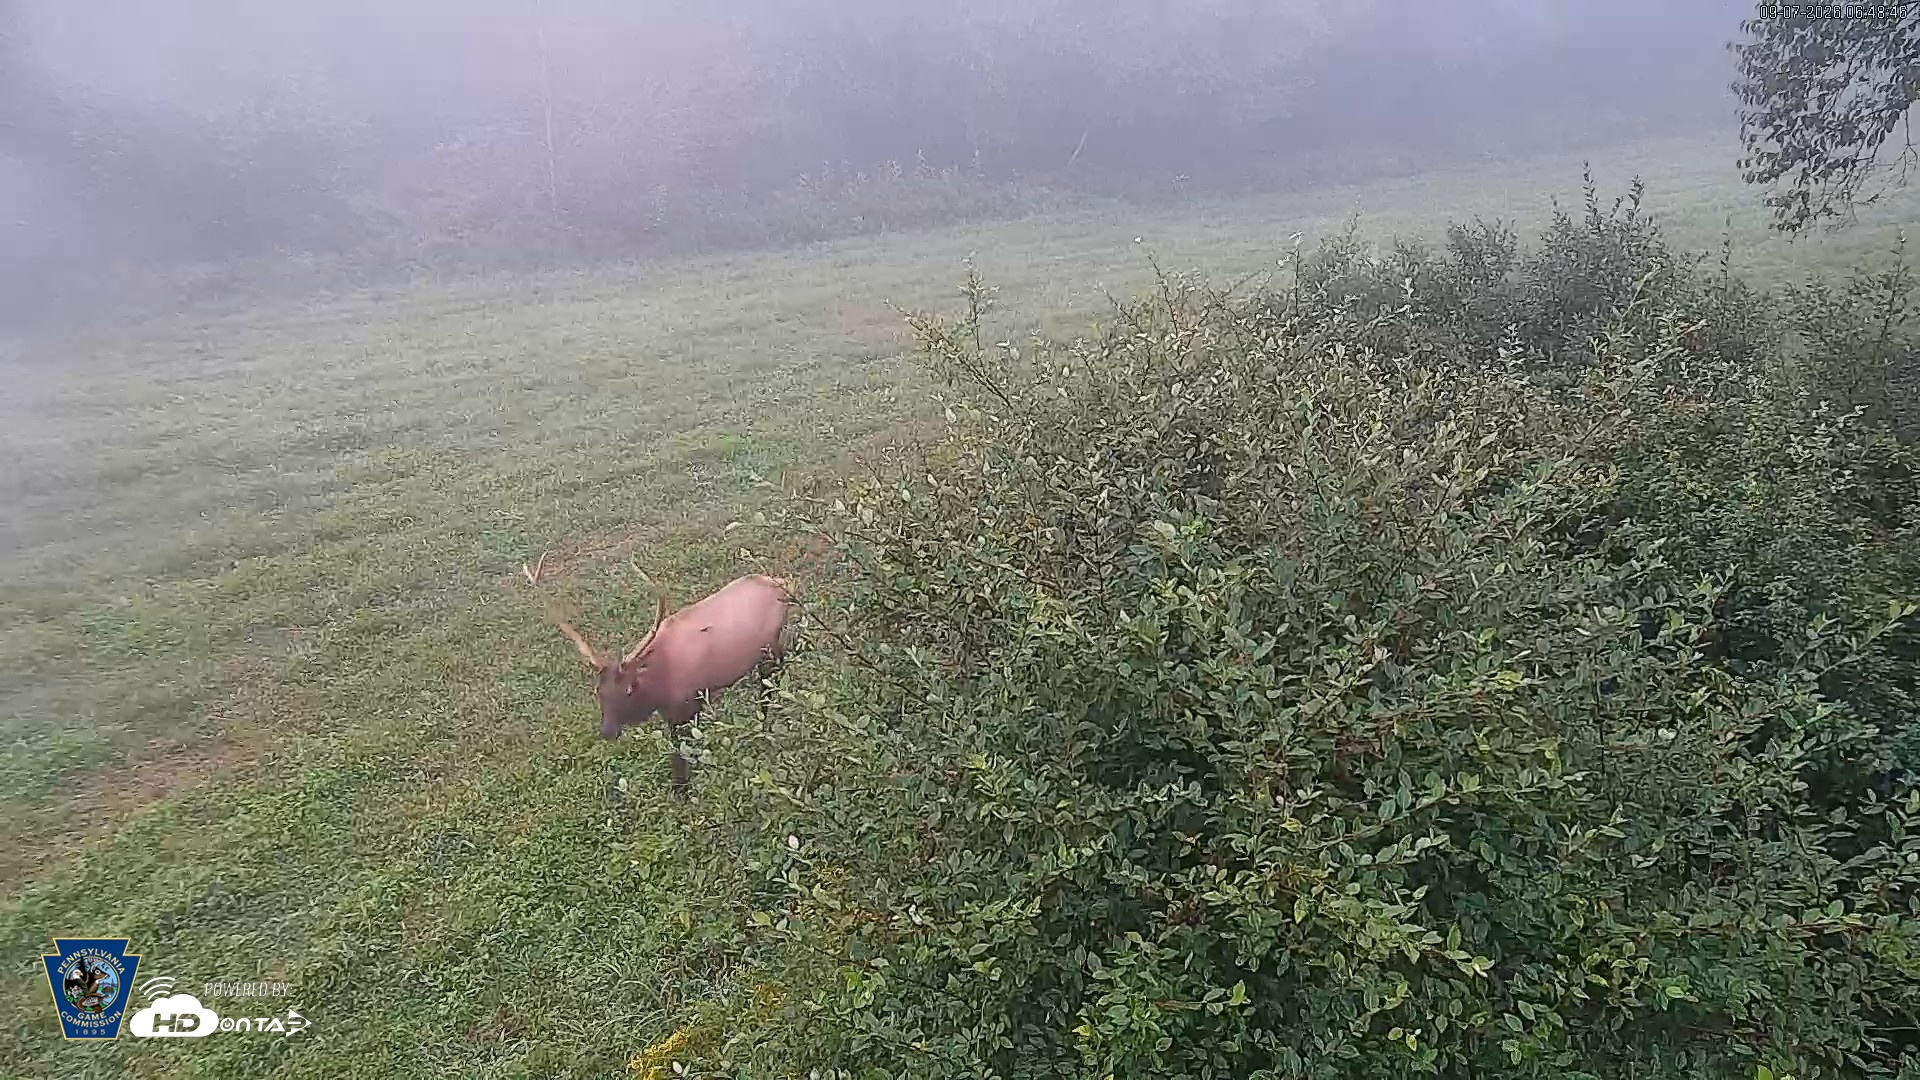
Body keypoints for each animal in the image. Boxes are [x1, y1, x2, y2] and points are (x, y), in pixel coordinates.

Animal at [552, 574, 794, 797]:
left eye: (629, 690)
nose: (607, 732)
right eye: (599, 691)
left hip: (770, 648)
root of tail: (782, 582)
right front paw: (680, 787)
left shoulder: (690, 702)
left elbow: (684, 748)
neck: (658, 689)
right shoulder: (671, 712)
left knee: (772, 678)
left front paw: (685, 787)